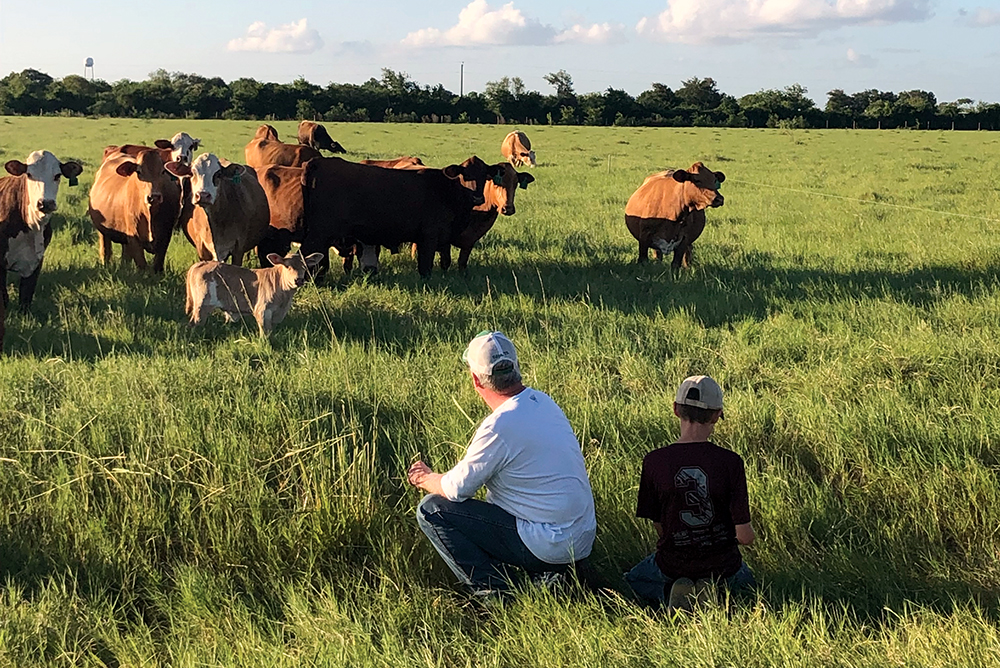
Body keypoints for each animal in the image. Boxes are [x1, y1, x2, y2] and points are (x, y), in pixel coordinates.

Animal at [0, 149, 83, 352]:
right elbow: (4, 298)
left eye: (57, 175)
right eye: (29, 174)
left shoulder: (36, 261)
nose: (45, 203)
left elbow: (26, 297)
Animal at [187, 250, 324, 336]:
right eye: (286, 266)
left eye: (304, 266)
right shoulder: (262, 311)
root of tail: (201, 263)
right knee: (194, 323)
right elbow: (265, 334)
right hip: (202, 305)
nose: (299, 280)